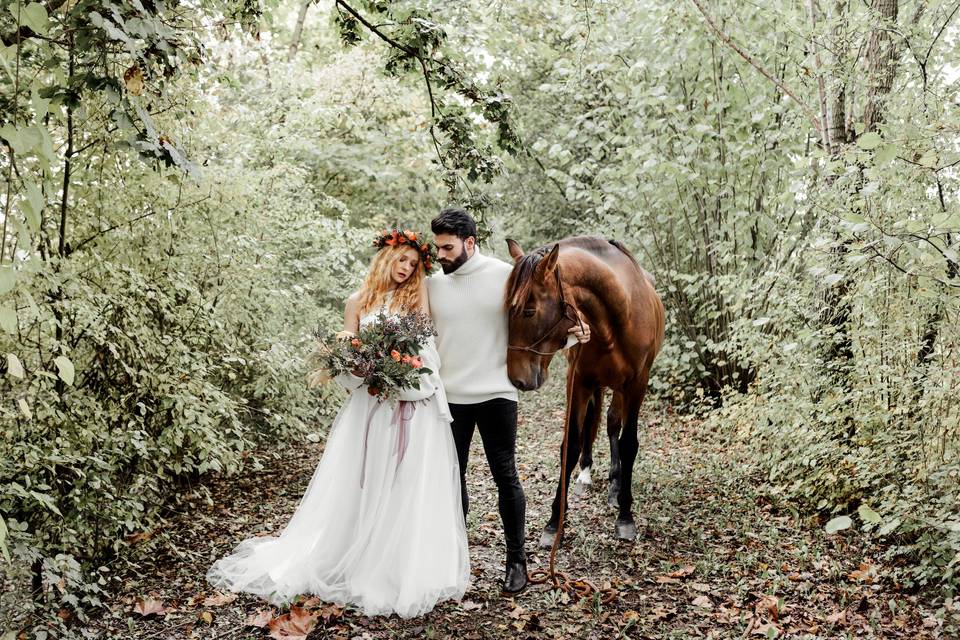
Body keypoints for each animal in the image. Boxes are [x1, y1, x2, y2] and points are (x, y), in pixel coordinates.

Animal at [506, 236, 664, 544]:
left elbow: (628, 443)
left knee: (613, 423)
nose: (516, 379)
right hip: (597, 384)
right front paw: (554, 522)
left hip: (621, 388)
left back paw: (615, 485)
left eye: (529, 311)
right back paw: (586, 474)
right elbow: (571, 445)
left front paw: (625, 516)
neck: (617, 317)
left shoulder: (637, 384)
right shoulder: (578, 381)